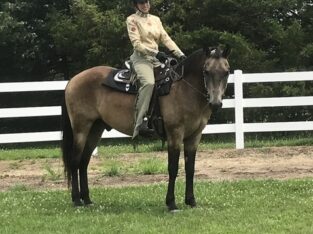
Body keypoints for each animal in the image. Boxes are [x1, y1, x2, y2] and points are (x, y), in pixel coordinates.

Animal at [61, 46, 229, 210]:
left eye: (226, 72)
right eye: (206, 71)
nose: (215, 103)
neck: (184, 89)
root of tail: (73, 80)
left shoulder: (194, 136)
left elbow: (190, 168)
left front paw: (191, 201)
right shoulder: (175, 134)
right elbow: (173, 168)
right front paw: (171, 203)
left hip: (95, 129)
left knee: (84, 162)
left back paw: (87, 199)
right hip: (81, 129)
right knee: (75, 161)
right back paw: (77, 200)